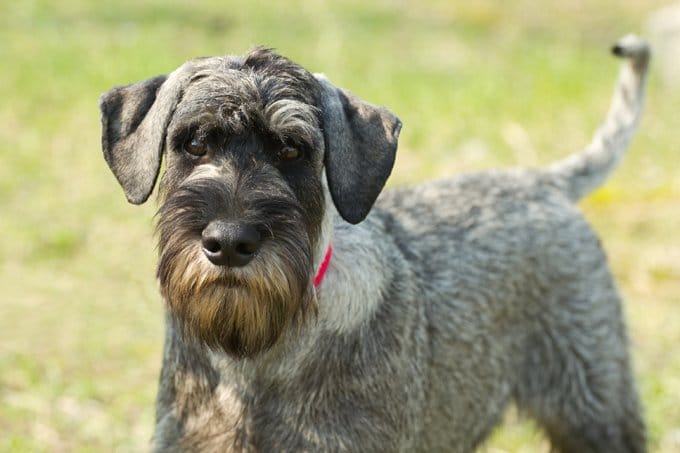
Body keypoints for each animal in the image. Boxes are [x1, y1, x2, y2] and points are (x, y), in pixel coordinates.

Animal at [98, 33, 652, 450]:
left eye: (292, 149)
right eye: (193, 142)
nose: (230, 242)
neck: (258, 358)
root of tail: (542, 182)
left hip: (594, 408)